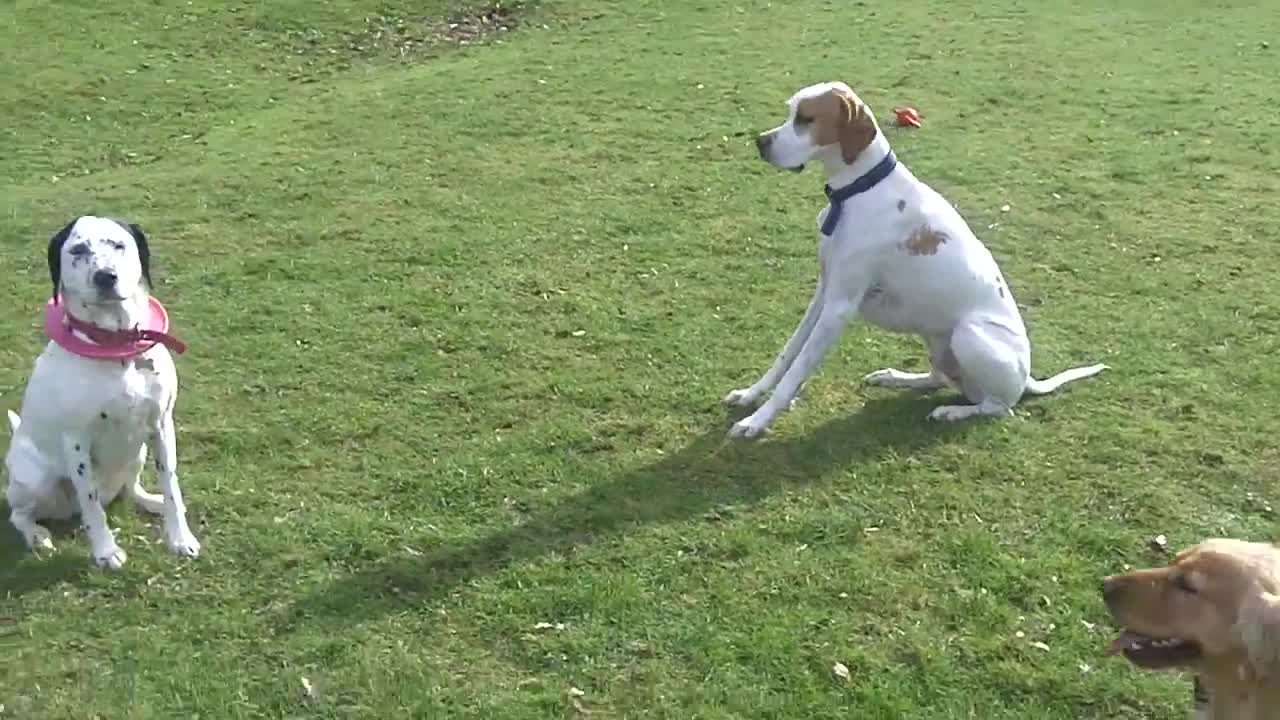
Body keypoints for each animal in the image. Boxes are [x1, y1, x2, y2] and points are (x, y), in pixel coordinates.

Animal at [3, 212, 198, 566]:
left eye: (119, 245)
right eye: (78, 249)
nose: (106, 277)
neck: (115, 346)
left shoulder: (162, 426)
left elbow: (171, 486)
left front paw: (180, 538)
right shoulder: (77, 442)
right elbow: (92, 504)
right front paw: (106, 551)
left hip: (138, 452)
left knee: (132, 489)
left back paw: (151, 501)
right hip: (35, 478)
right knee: (20, 514)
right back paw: (37, 534)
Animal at [727, 80, 1105, 435]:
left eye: (806, 119)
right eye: (790, 111)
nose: (760, 142)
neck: (860, 190)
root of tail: (1027, 379)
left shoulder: (839, 306)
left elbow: (798, 368)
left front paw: (757, 421)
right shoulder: (824, 292)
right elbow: (788, 353)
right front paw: (750, 394)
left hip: (969, 335)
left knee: (997, 407)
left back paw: (953, 412)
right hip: (936, 339)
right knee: (940, 379)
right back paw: (897, 377)